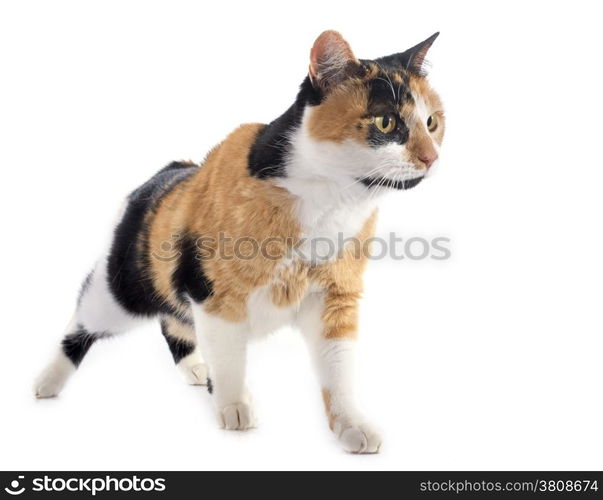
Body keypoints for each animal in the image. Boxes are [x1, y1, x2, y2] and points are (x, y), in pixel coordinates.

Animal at [35, 30, 446, 454]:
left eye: (432, 121)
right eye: (387, 121)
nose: (431, 157)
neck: (330, 202)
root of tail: (170, 169)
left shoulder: (334, 296)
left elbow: (339, 370)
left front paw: (352, 424)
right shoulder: (215, 295)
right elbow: (230, 359)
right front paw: (233, 405)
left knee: (174, 322)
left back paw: (195, 368)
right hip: (121, 291)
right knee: (83, 317)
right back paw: (47, 381)